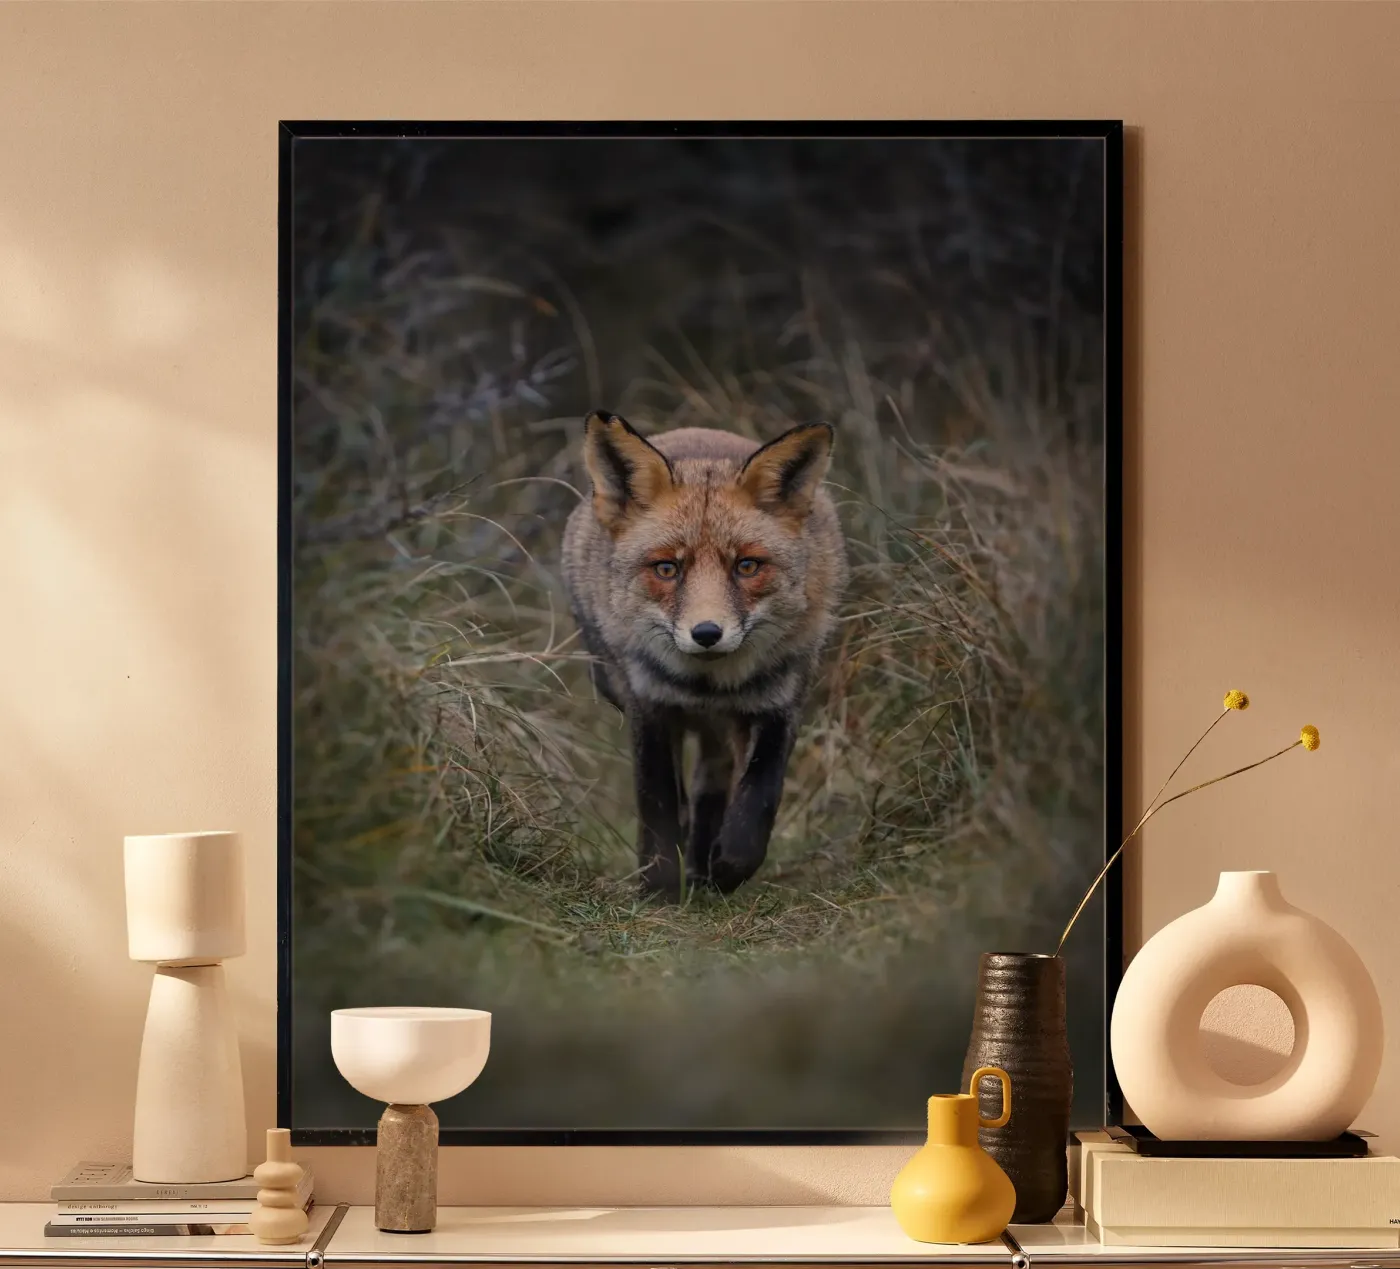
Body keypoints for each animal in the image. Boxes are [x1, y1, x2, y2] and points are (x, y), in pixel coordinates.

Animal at [561, 411, 849, 899]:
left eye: (747, 566)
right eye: (667, 569)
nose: (707, 633)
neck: (708, 685)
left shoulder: (780, 703)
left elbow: (759, 798)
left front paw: (728, 866)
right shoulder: (650, 705)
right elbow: (658, 803)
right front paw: (660, 888)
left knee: (711, 786)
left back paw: (702, 865)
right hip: (616, 685)